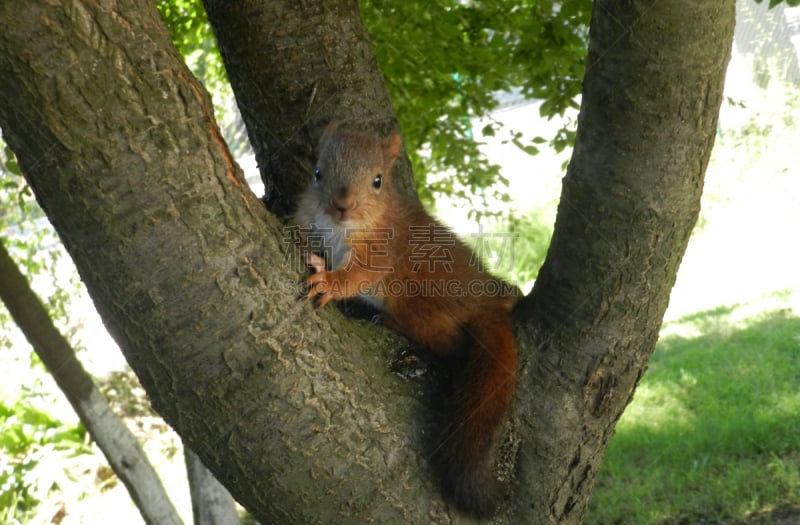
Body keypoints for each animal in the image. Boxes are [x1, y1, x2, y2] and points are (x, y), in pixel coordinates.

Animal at [294, 122, 520, 516]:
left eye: (378, 180)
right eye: (318, 172)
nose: (343, 206)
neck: (344, 227)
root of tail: (487, 306)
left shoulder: (381, 252)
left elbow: (358, 276)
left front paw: (329, 281)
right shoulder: (309, 216)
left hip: (411, 300)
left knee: (448, 343)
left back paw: (388, 322)